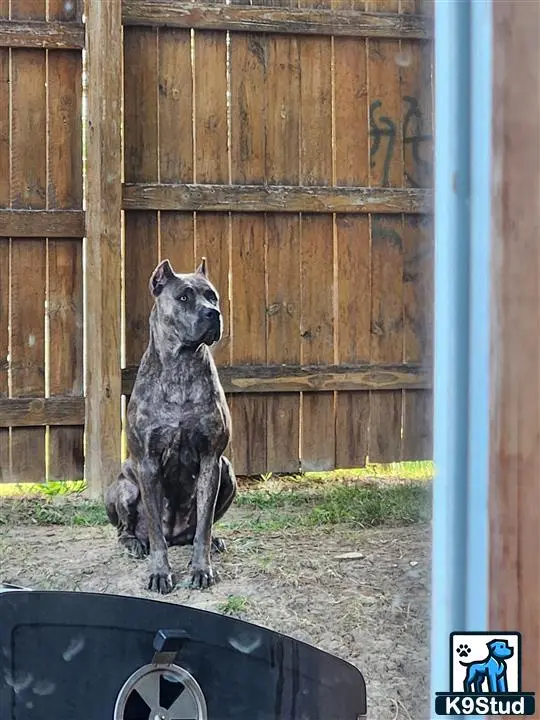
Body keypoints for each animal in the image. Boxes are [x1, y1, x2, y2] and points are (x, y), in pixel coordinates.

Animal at [106, 256, 237, 592]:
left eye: (213, 296)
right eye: (184, 297)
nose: (213, 313)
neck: (181, 366)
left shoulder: (211, 460)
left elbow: (204, 525)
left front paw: (201, 569)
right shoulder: (148, 463)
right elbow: (154, 530)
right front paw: (159, 573)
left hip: (228, 472)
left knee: (197, 530)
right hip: (125, 485)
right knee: (127, 529)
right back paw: (134, 543)